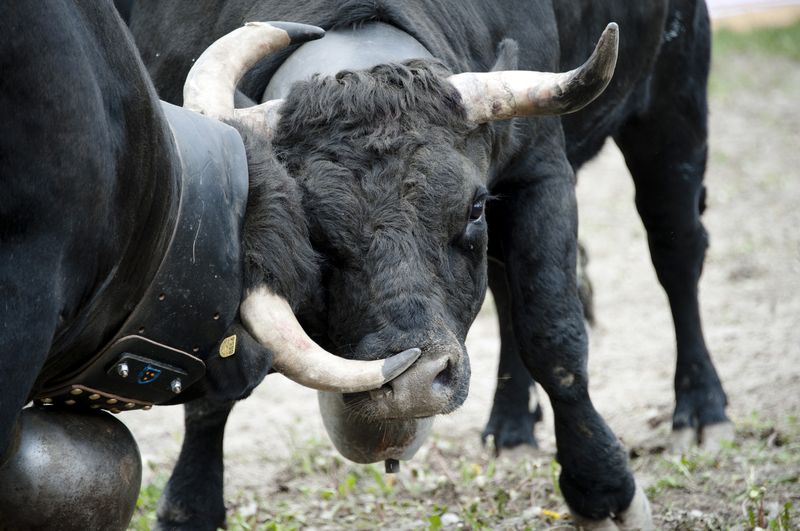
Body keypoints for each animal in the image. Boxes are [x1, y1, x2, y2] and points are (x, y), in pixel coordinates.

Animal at [0, 0, 732, 528]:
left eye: (472, 205)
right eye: (312, 228)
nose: (411, 386)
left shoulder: (540, 171)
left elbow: (555, 333)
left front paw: (604, 490)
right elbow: (215, 384)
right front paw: (191, 508)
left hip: (675, 105)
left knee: (676, 252)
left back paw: (701, 409)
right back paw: (510, 425)